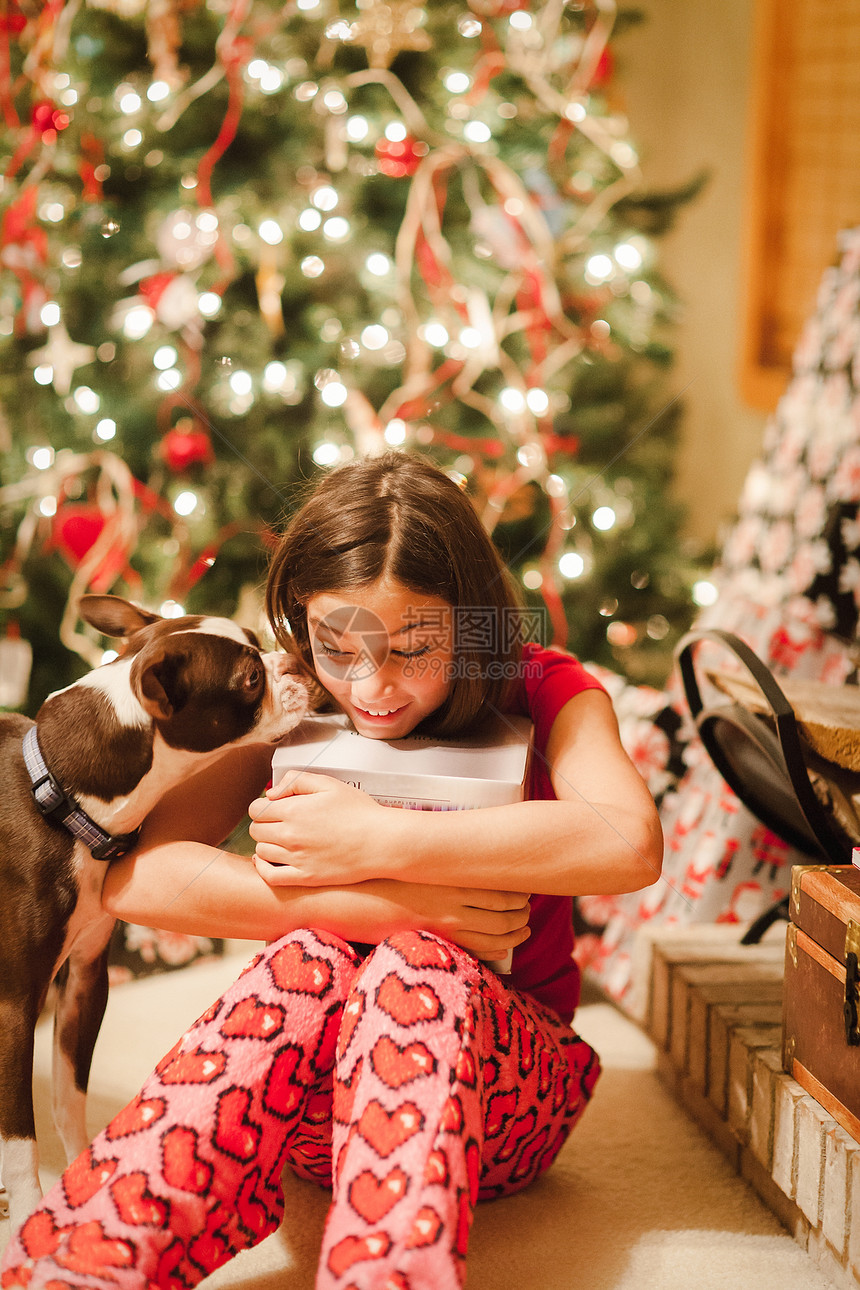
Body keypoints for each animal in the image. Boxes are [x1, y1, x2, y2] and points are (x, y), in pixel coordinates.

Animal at [0, 593, 309, 1228]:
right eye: (250, 679)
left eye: (256, 639)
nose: (293, 660)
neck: (62, 795)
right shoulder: (16, 1005)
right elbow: (19, 1139)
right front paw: (25, 1217)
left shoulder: (84, 980)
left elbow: (69, 1097)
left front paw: (78, 1181)